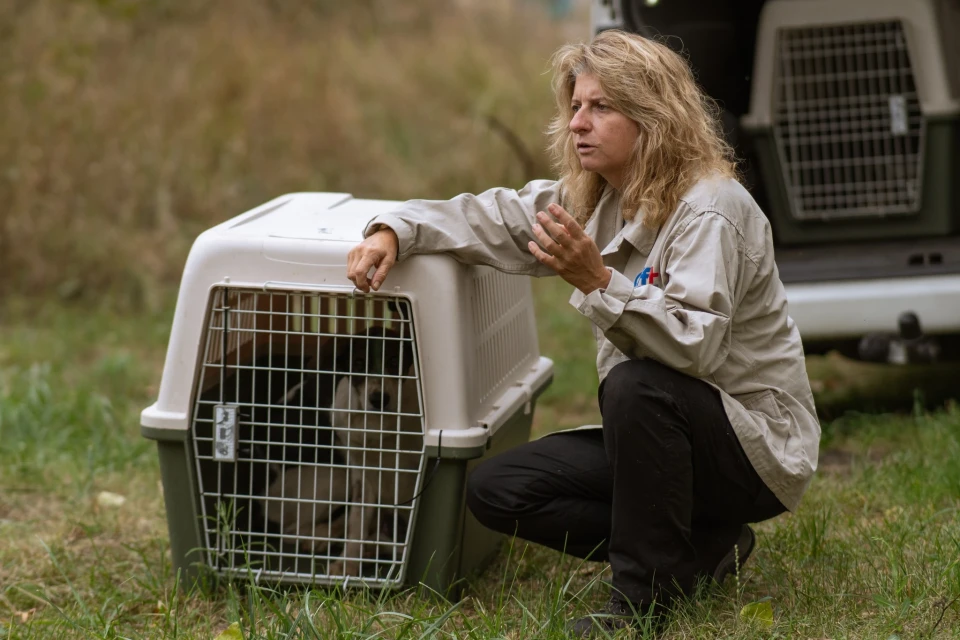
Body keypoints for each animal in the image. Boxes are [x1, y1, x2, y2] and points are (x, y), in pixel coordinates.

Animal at [191, 288, 424, 588]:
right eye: (358, 363)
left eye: (394, 362)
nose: (378, 399)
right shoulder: (363, 475)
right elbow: (358, 525)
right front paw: (347, 565)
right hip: (334, 479)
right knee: (291, 531)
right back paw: (325, 537)